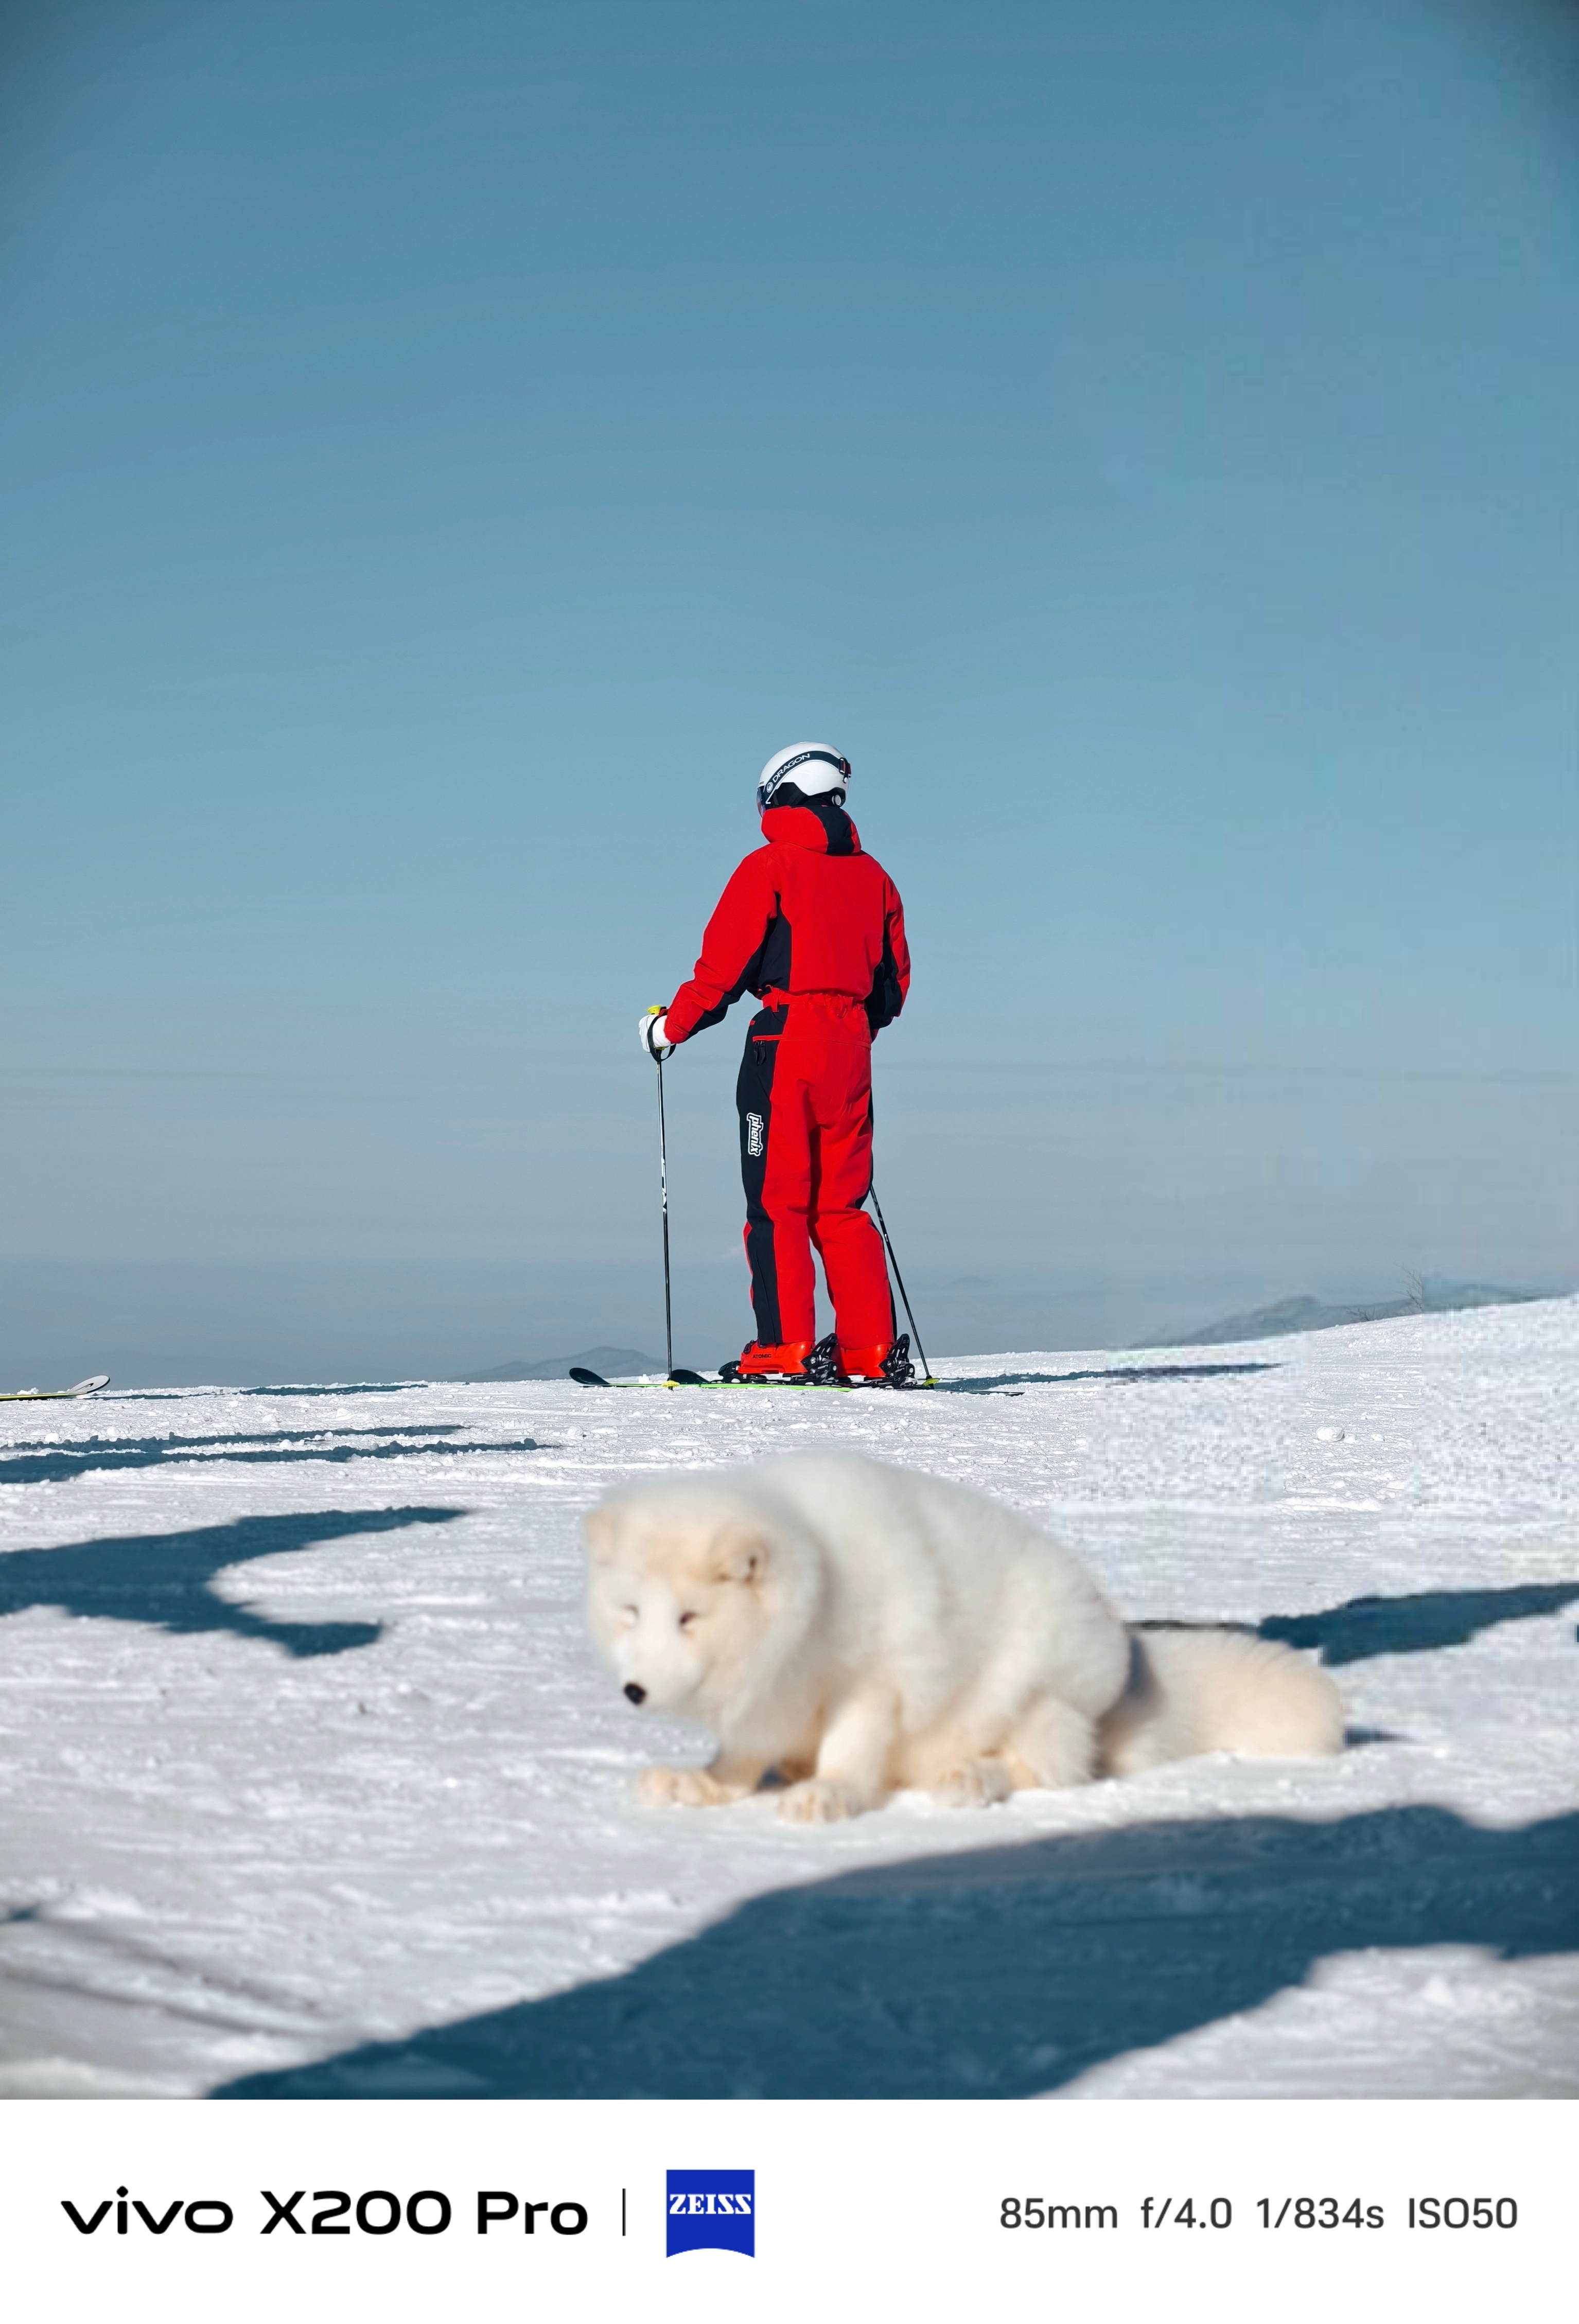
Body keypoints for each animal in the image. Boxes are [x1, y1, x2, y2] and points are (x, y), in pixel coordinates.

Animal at [581, 1450, 1330, 1812]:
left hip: (1031, 1693)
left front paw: (831, 1794)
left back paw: (969, 1778)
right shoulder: (772, 1698)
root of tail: (1125, 1662)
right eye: (632, 1612)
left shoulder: (876, 1684)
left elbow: (852, 1750)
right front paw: (704, 1785)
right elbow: (738, 1761)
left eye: (688, 1617)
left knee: (1052, 1770)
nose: (634, 1691)